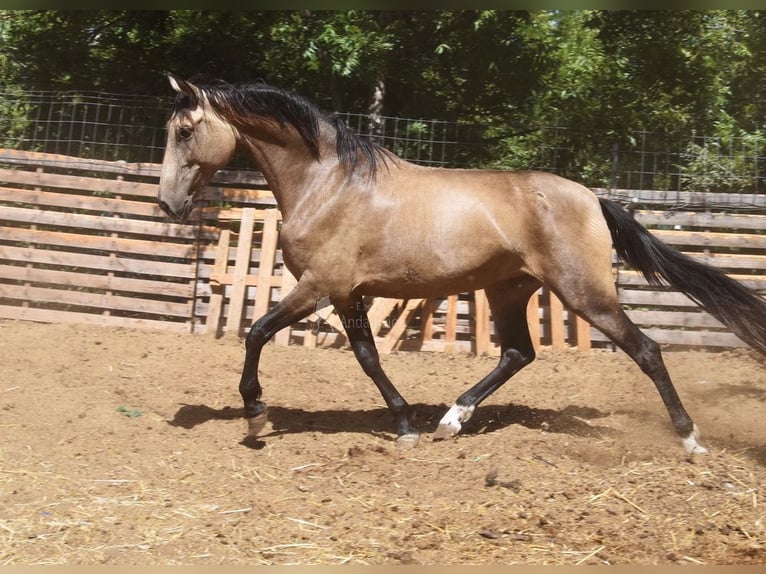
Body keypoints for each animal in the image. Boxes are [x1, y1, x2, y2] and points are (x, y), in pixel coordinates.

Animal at [158, 74, 766, 456]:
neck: (328, 184)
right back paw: (451, 421)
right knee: (518, 353)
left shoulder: (320, 285)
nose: (167, 203)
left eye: (185, 131)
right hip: (509, 291)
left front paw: (256, 414)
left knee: (647, 350)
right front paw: (406, 425)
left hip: (583, 292)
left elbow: (258, 331)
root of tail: (593, 198)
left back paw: (690, 440)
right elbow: (367, 358)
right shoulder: (348, 293)